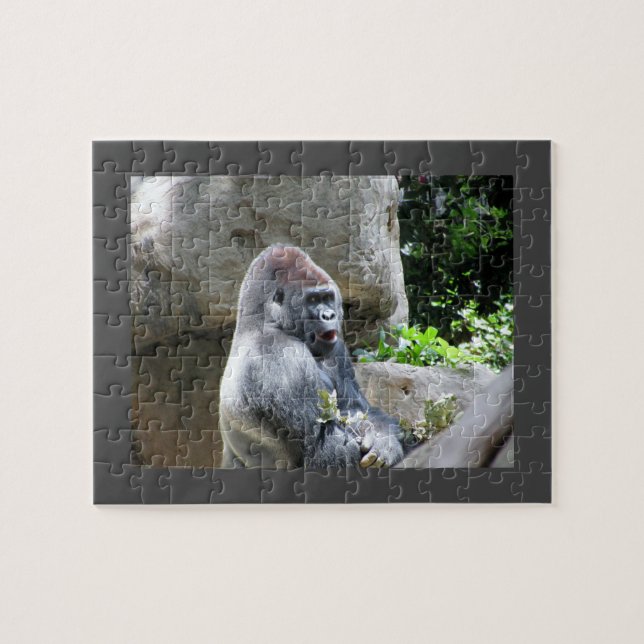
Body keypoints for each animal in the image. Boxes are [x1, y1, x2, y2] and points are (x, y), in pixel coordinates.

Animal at [218, 244, 404, 469]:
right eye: (313, 300)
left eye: (327, 298)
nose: (329, 315)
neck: (264, 321)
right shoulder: (282, 357)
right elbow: (321, 452)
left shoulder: (335, 346)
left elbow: (356, 409)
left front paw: (384, 440)